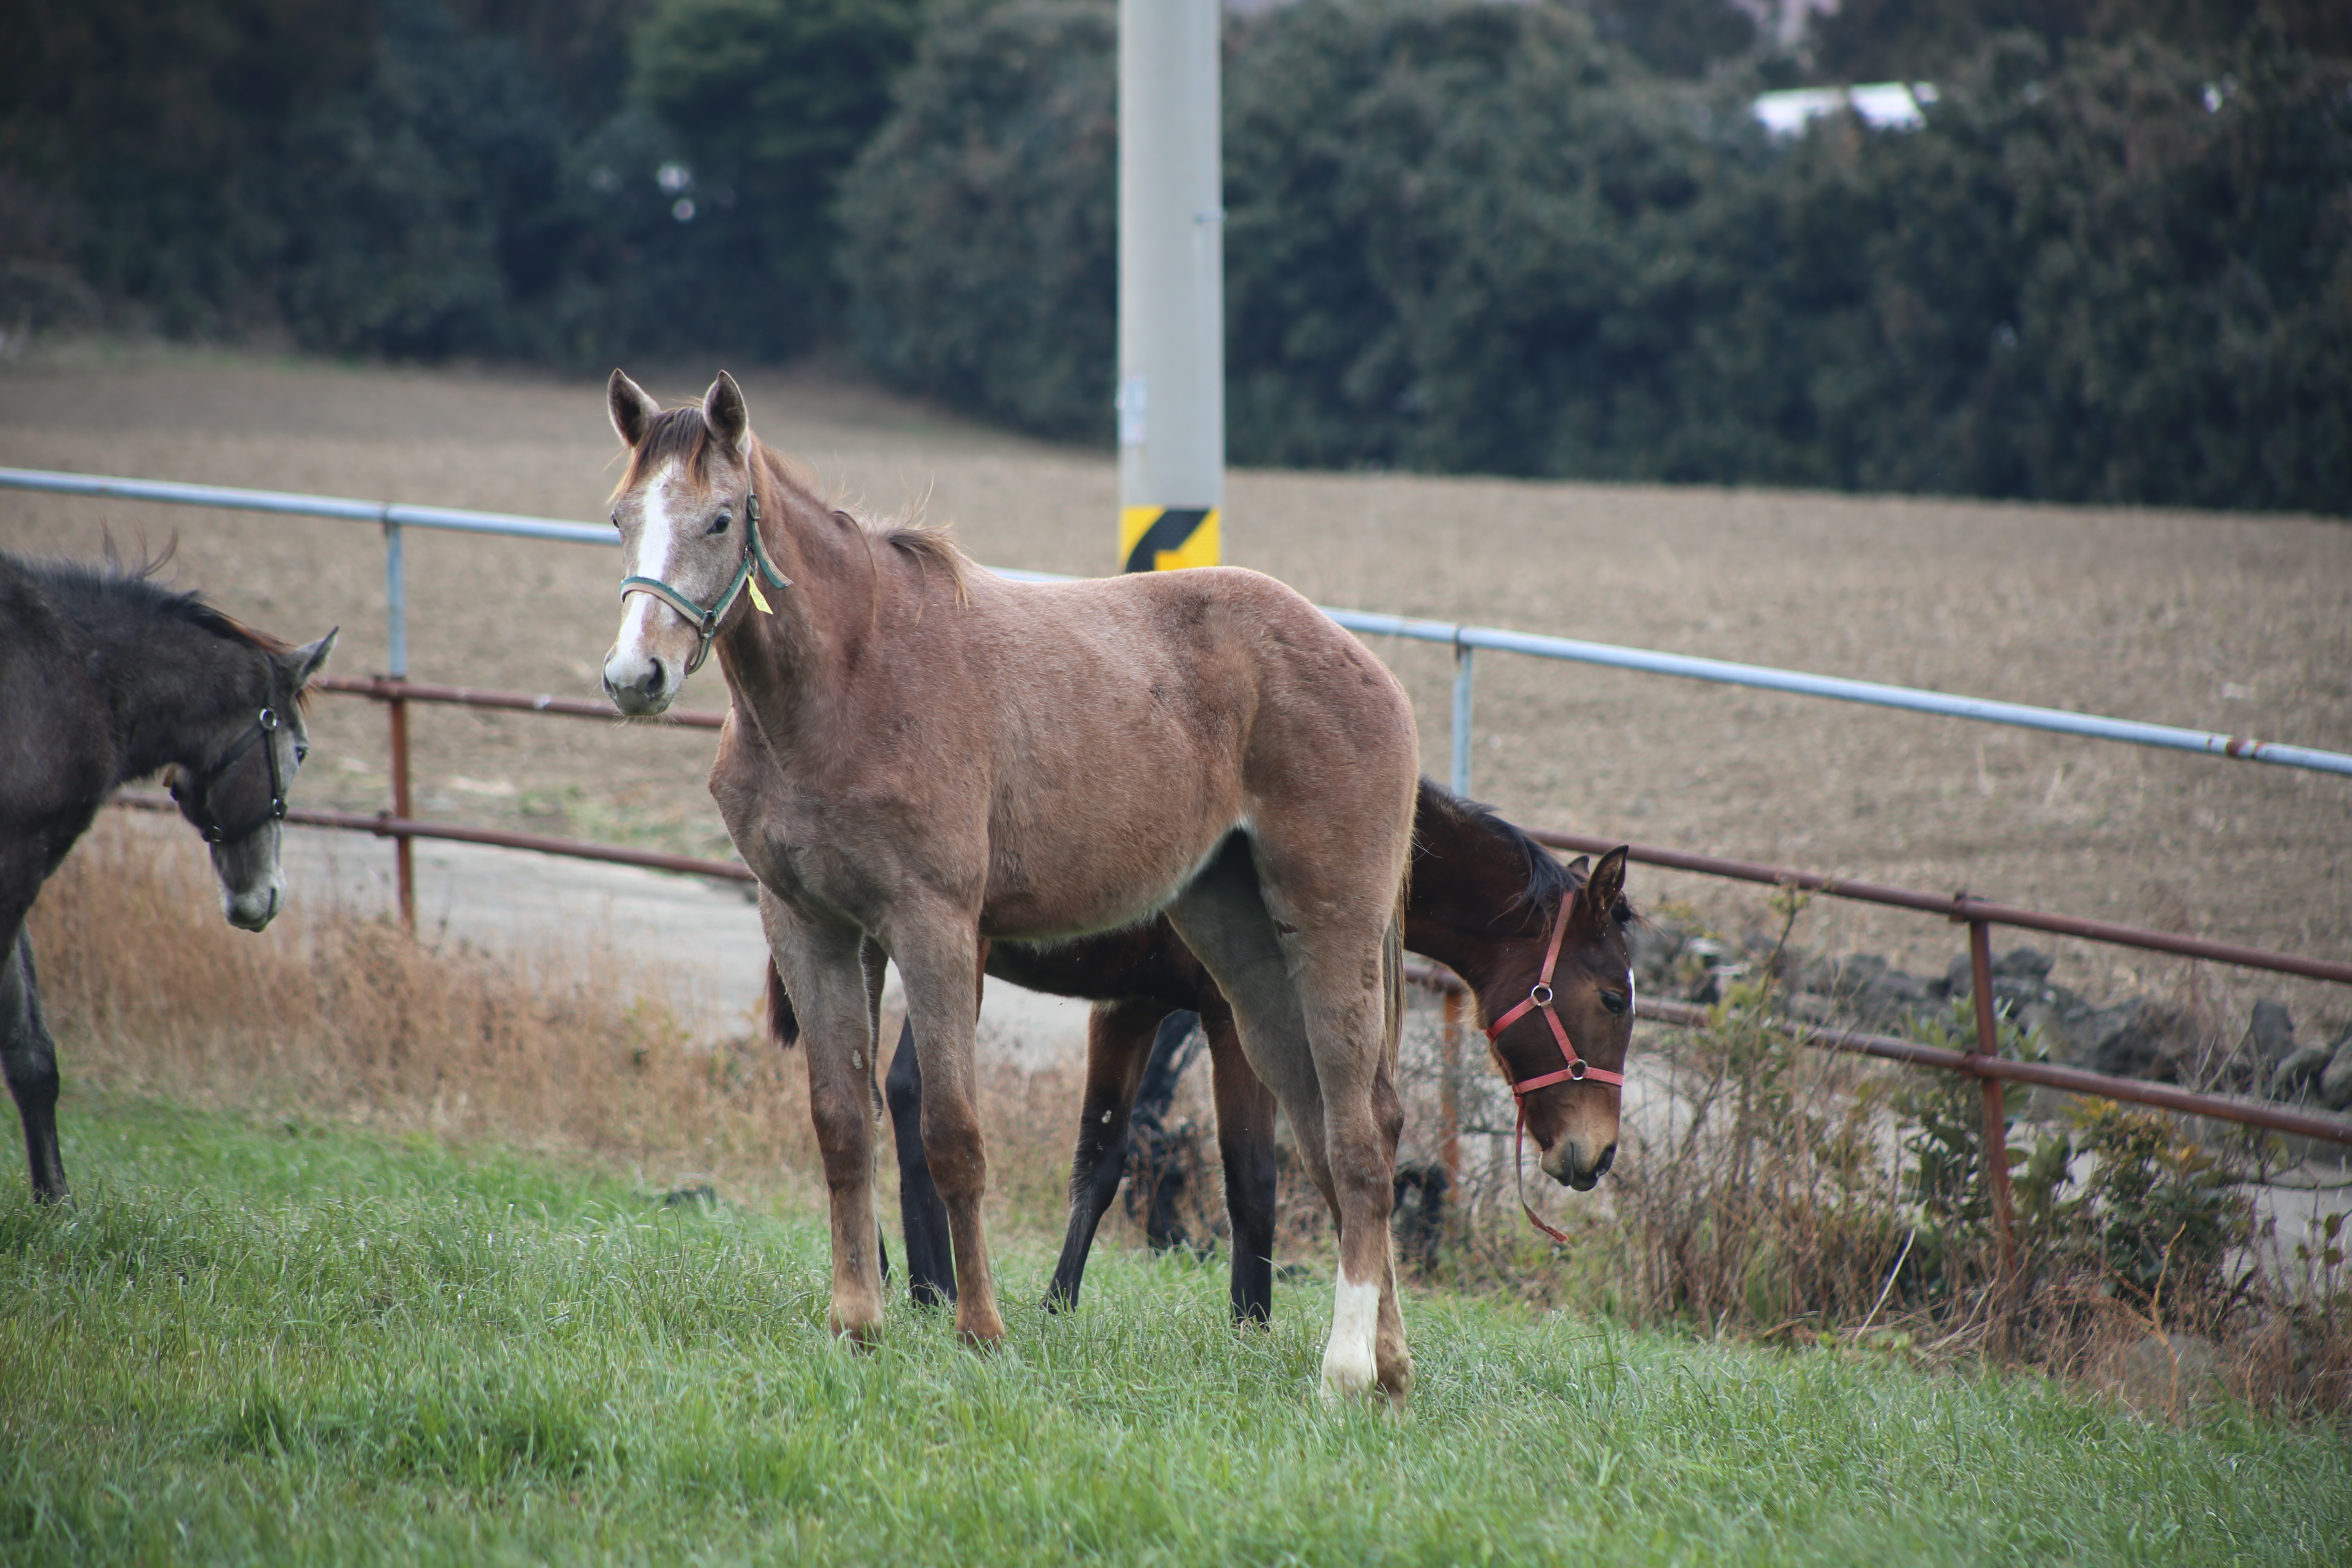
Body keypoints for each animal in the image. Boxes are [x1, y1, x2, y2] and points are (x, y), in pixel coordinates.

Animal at [0, 552, 336, 1203]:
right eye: (302, 751)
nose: (262, 898)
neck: (84, 672)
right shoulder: (16, 862)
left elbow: (32, 1051)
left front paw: (56, 1205)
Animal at [597, 374, 1421, 1401]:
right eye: (620, 517)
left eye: (718, 519)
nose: (636, 676)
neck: (851, 681)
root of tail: (1371, 672)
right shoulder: (810, 927)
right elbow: (843, 1124)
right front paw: (855, 1324)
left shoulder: (936, 928)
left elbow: (952, 1132)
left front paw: (980, 1330)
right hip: (1243, 955)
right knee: (1327, 1128)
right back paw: (1389, 1364)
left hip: (1330, 927)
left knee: (1358, 1133)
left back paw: (1346, 1368)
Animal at [865, 785, 1637, 1326]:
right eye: (1612, 998)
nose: (1598, 1154)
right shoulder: (1231, 1019)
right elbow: (1251, 1175)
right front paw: (1252, 1323)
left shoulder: (1131, 1008)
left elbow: (1102, 1160)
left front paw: (1059, 1305)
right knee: (908, 1096)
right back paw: (931, 1288)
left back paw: (899, 1280)